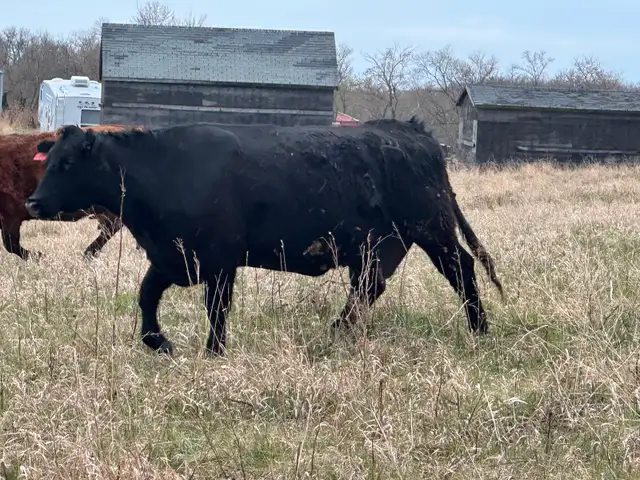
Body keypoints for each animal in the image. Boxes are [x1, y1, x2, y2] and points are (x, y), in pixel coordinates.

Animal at [26, 118, 504, 356]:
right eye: (50, 161)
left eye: (68, 163)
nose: (33, 202)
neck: (163, 171)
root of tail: (412, 131)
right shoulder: (172, 258)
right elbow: (146, 297)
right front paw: (159, 342)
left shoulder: (219, 260)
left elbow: (216, 309)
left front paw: (214, 352)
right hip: (379, 246)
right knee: (368, 287)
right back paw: (337, 331)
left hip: (431, 229)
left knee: (461, 269)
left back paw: (479, 330)